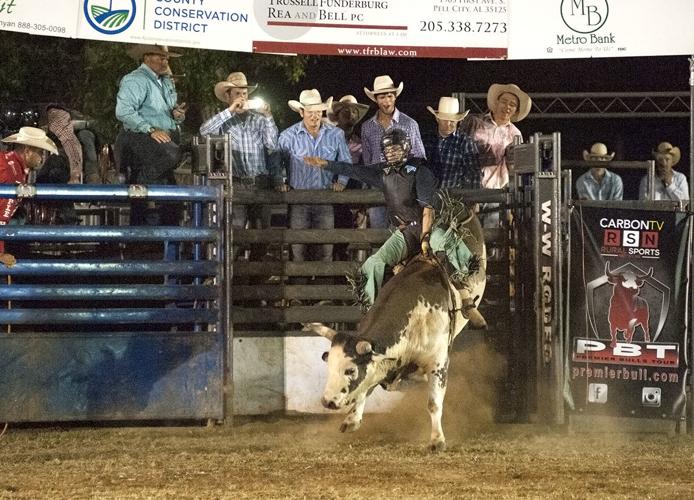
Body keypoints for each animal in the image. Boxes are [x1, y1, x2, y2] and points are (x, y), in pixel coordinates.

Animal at [304, 210, 486, 452]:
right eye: (329, 364)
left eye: (350, 370)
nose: (328, 401)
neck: (415, 317)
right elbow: (368, 385)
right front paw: (352, 420)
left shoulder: (438, 363)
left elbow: (433, 403)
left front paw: (437, 440)